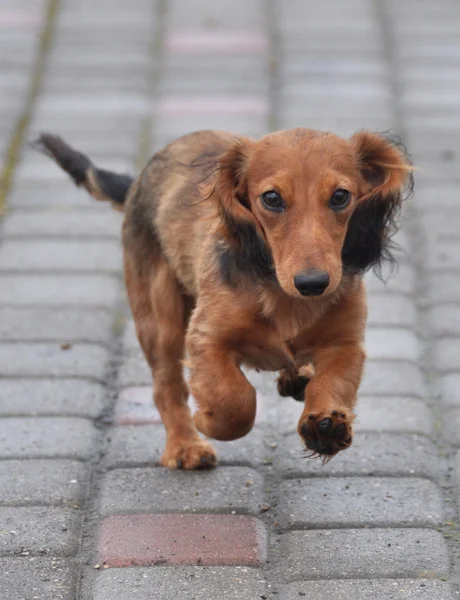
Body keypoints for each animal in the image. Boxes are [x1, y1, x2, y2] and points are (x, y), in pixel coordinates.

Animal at [35, 130, 414, 468]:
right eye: (272, 198)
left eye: (340, 197)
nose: (313, 283)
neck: (284, 295)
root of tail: (139, 183)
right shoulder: (206, 337)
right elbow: (235, 401)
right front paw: (208, 420)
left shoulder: (347, 343)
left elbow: (333, 382)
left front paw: (327, 425)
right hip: (160, 319)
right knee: (166, 389)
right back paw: (185, 446)